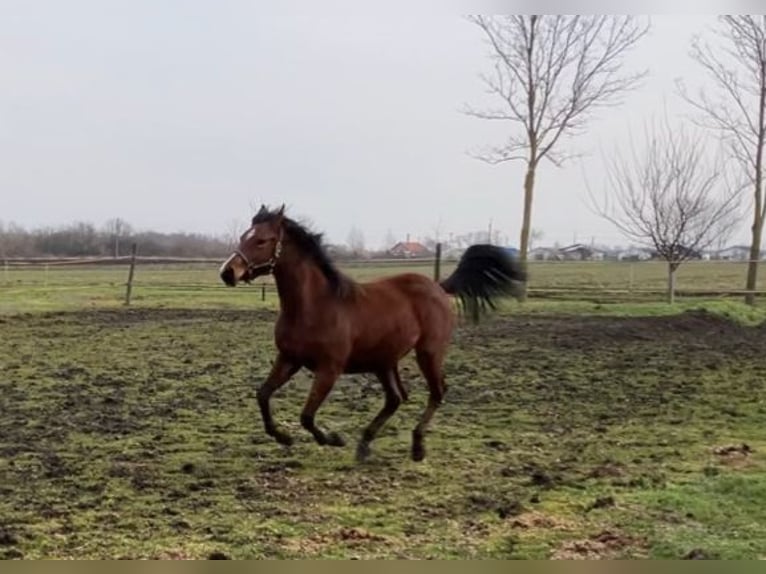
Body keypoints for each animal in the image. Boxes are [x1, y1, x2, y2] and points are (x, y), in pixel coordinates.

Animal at [219, 207, 524, 464]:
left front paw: (333, 439)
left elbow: (306, 415)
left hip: (428, 352)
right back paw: (365, 445)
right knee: (396, 398)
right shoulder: (289, 359)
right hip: (384, 361)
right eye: (244, 236)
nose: (227, 272)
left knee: (437, 392)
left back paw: (417, 447)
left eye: (262, 241)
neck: (313, 306)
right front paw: (283, 436)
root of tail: (438, 286)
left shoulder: (330, 369)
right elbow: (263, 394)